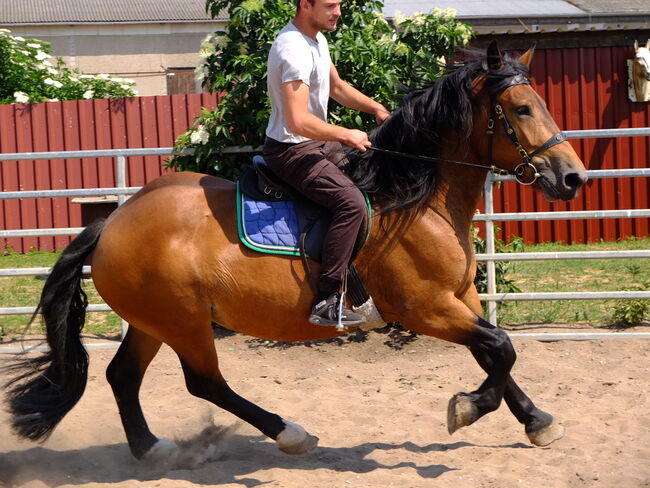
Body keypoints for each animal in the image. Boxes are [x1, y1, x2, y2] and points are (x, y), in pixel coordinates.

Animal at [2, 43, 584, 464]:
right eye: (522, 109)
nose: (573, 178)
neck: (415, 200)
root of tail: (111, 222)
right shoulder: (425, 308)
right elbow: (501, 348)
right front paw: (466, 407)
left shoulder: (460, 298)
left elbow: (496, 353)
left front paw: (537, 422)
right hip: (184, 321)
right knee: (205, 382)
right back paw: (290, 433)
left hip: (153, 321)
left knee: (123, 377)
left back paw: (152, 449)